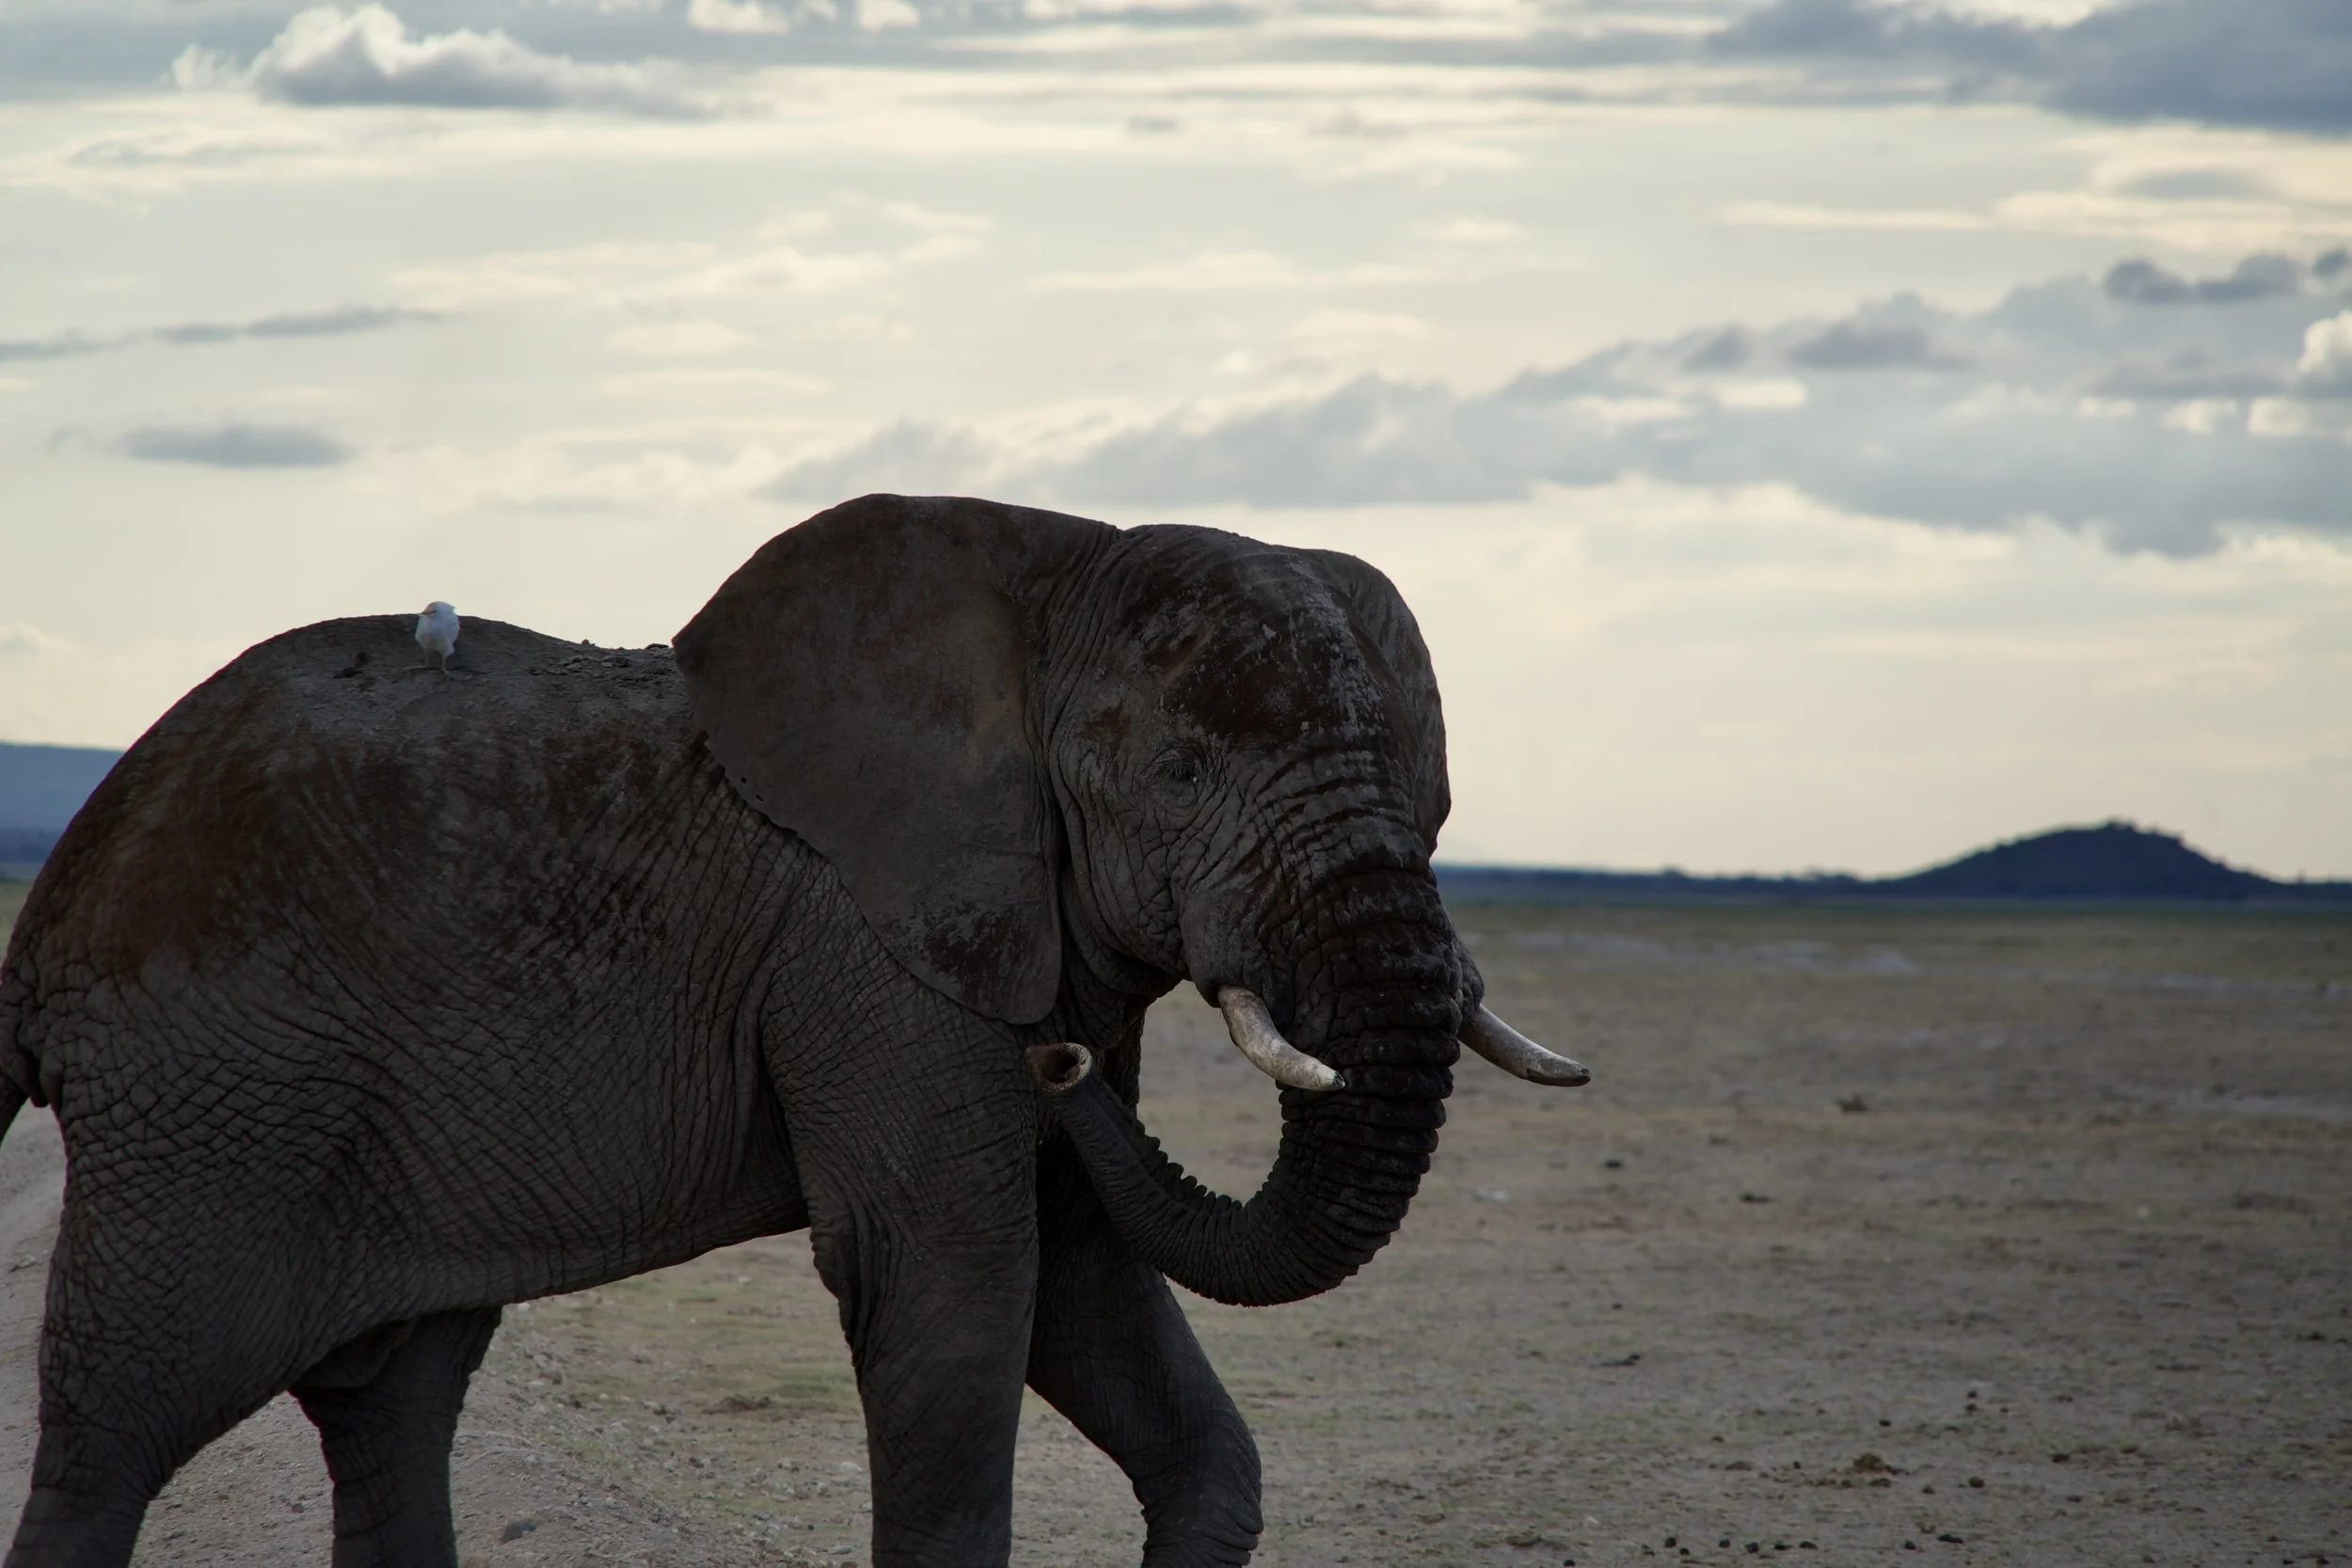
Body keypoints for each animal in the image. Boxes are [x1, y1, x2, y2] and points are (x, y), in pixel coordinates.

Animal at [0, 493, 1587, 1568]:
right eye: (1185, 771)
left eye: (1429, 792)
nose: (1062, 1058)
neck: (1054, 572)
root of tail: (56, 899)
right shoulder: (869, 959)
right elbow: (954, 1281)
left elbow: (1089, 1276)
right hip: (210, 1091)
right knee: (122, 1424)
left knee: (393, 1397)